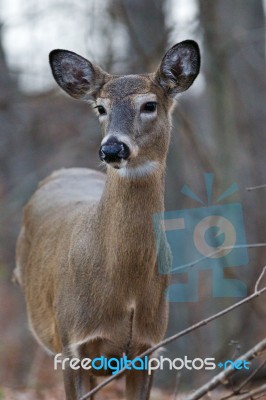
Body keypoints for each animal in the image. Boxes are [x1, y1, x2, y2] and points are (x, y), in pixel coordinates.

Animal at [13, 39, 198, 398]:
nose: (112, 149)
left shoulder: (148, 345)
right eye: (100, 108)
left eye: (149, 104)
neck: (124, 288)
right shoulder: (72, 342)